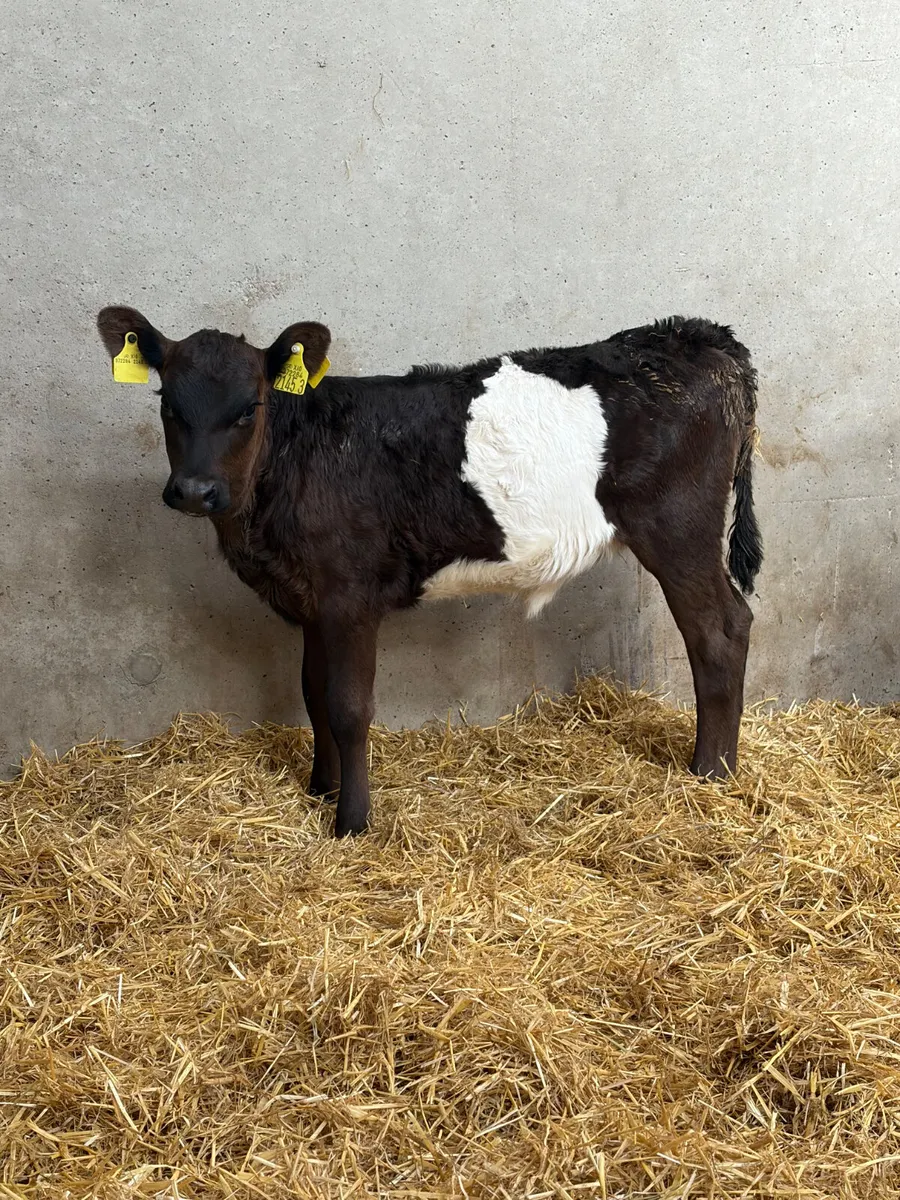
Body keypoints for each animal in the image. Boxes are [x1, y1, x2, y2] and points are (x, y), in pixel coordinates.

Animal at [97, 307, 762, 837]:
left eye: (249, 407)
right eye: (167, 403)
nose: (195, 491)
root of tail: (697, 334)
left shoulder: (349, 596)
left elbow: (348, 706)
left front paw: (352, 822)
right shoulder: (313, 598)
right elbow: (313, 693)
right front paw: (320, 789)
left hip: (678, 529)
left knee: (720, 629)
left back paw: (712, 773)